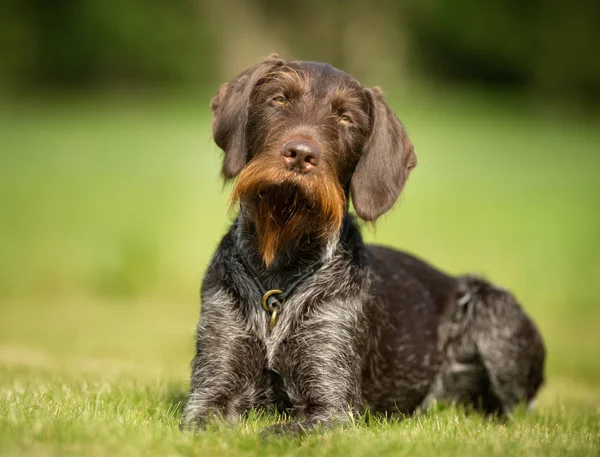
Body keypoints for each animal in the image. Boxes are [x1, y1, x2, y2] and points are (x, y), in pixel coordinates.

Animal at [180, 54, 548, 432]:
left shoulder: (332, 407)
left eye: (346, 118)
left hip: (496, 312)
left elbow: (274, 433)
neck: (281, 271)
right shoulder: (211, 390)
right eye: (279, 99)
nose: (300, 154)